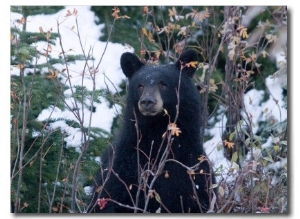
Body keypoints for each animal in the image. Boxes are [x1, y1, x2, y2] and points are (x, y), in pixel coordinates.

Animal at [86, 49, 216, 212]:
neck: (156, 132)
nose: (147, 101)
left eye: (163, 84)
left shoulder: (193, 171)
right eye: (140, 86)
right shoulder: (124, 168)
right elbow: (112, 199)